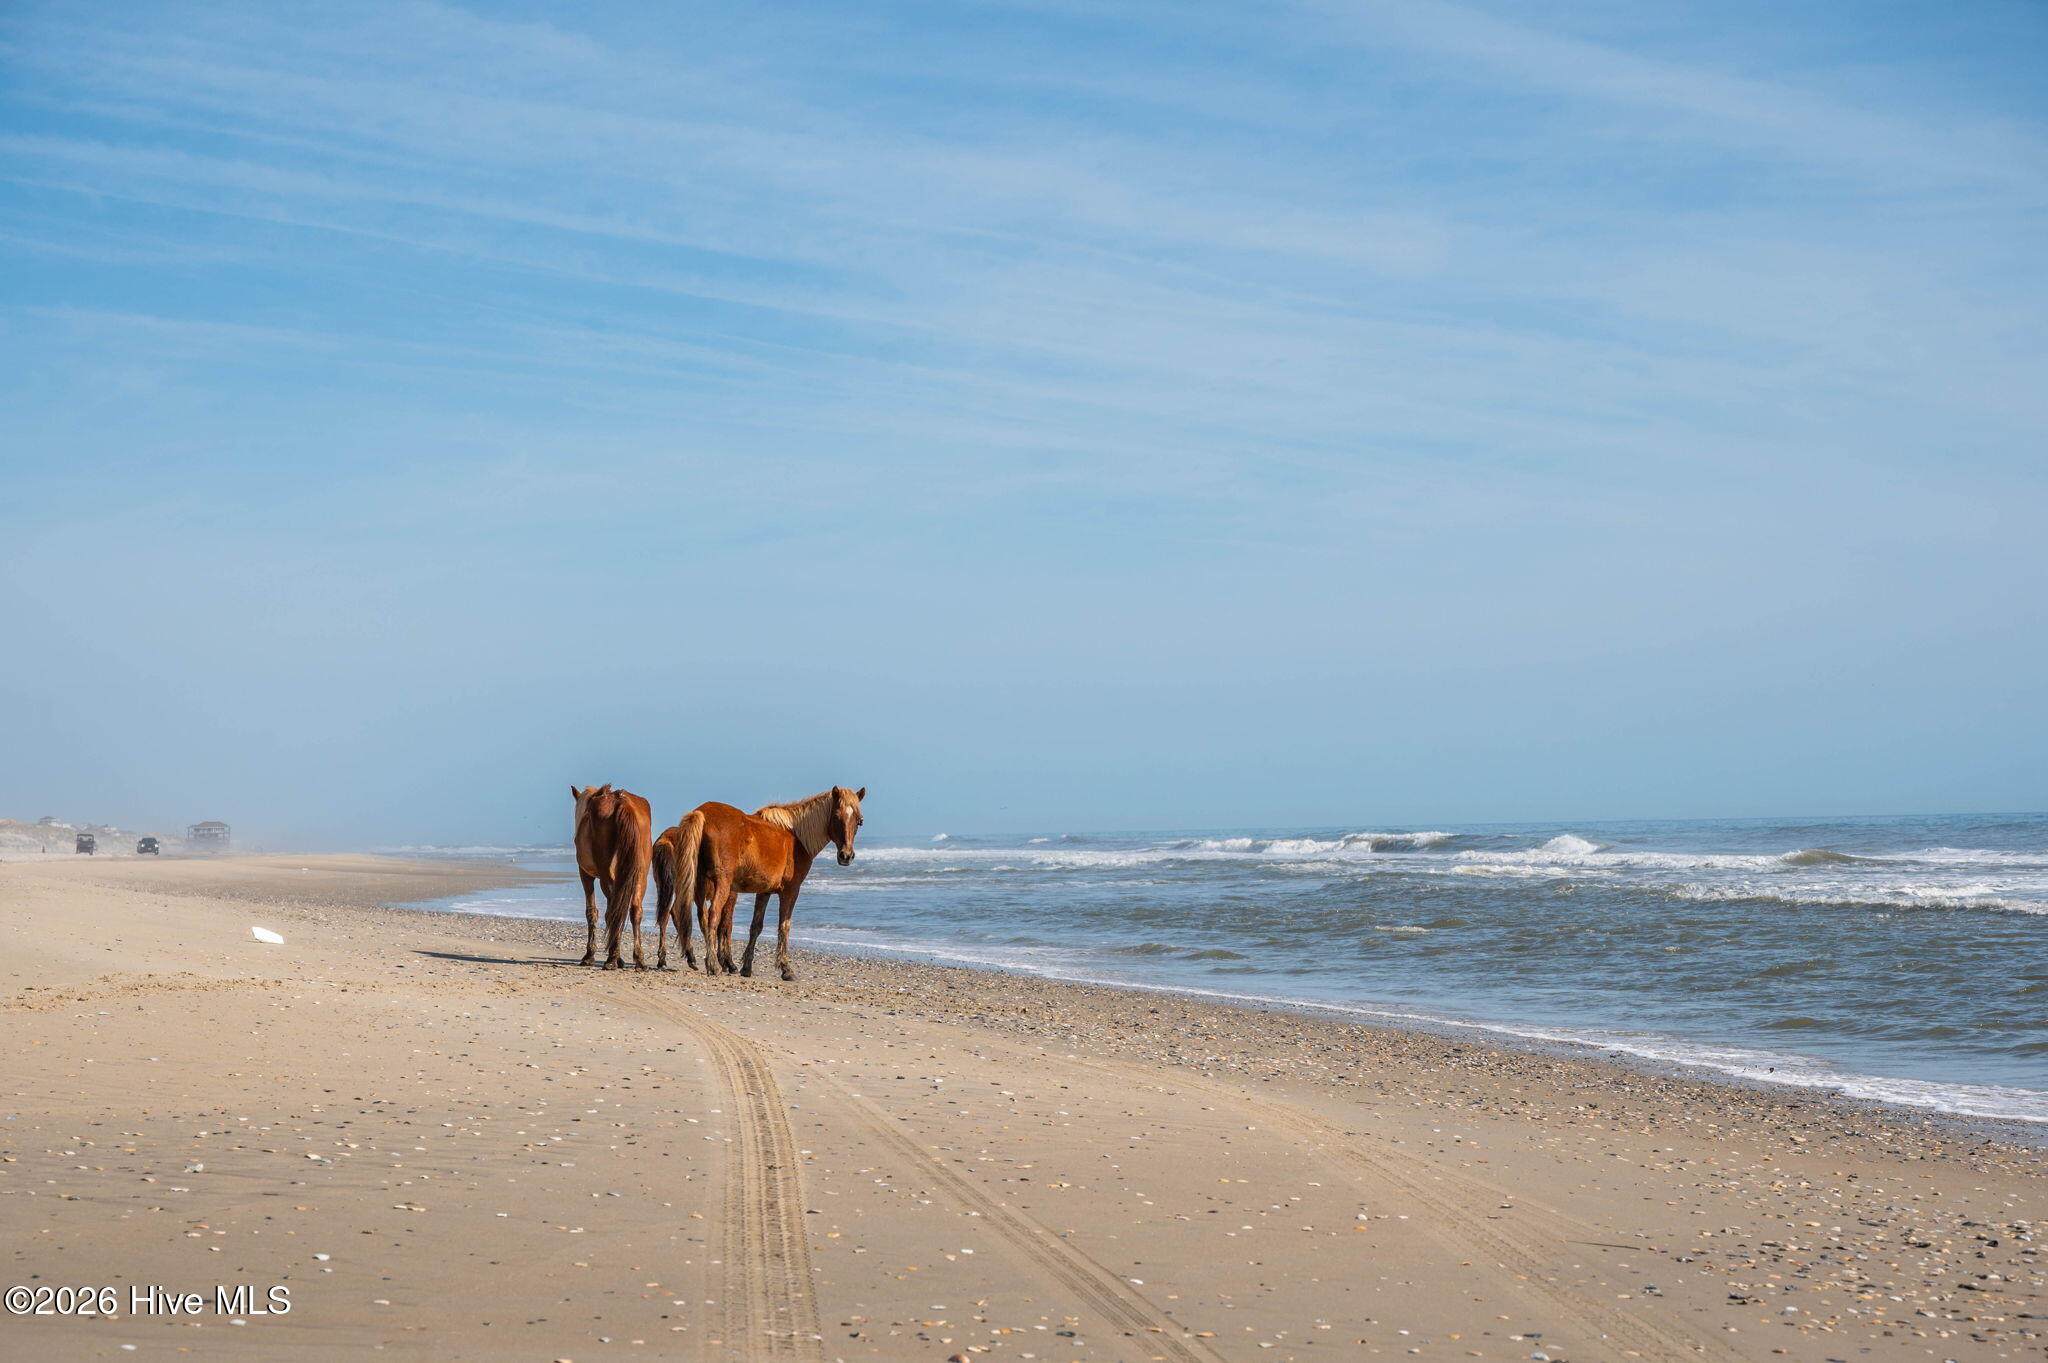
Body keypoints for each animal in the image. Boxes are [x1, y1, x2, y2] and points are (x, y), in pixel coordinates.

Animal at [570, 784, 654, 970]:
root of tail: (622, 803)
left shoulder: (585, 874)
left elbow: (592, 911)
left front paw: (590, 955)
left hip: (606, 875)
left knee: (613, 912)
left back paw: (612, 959)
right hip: (641, 874)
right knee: (634, 910)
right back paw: (639, 959)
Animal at [653, 786, 864, 981]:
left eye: (859, 821)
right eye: (836, 816)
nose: (846, 856)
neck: (796, 836)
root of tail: (702, 813)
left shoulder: (765, 891)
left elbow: (756, 926)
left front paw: (746, 967)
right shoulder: (791, 891)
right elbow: (783, 926)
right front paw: (786, 968)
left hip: (699, 883)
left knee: (697, 916)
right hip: (721, 884)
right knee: (711, 916)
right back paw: (712, 964)